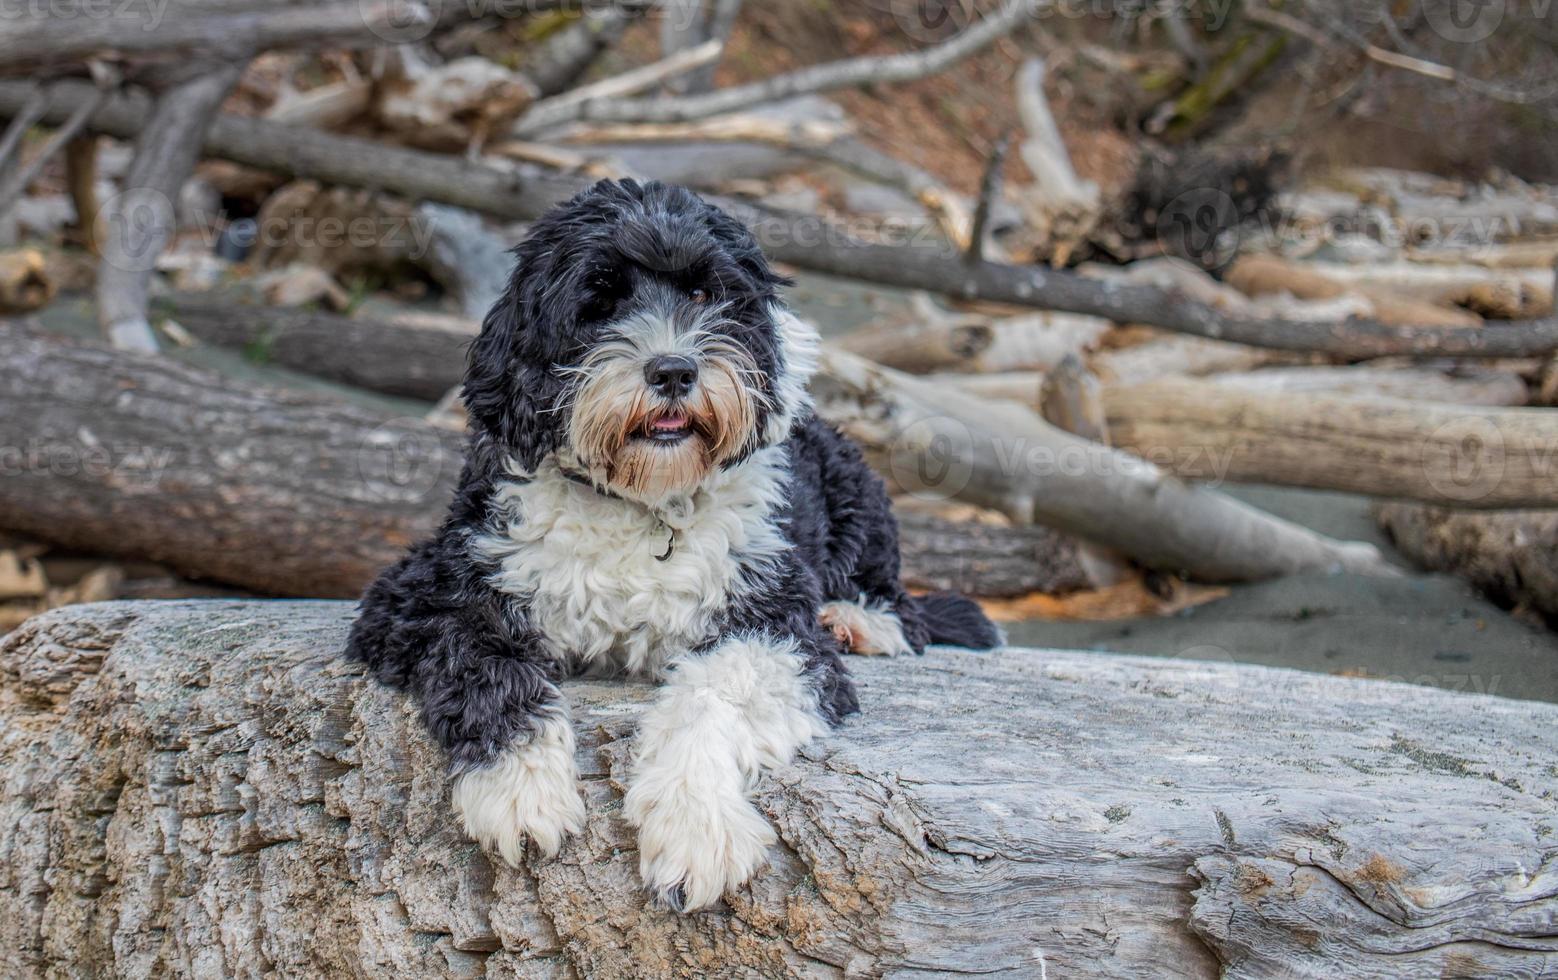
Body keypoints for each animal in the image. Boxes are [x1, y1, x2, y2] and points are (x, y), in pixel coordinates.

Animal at [345, 177, 997, 909]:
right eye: (598, 302)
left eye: (705, 294)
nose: (675, 371)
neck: (643, 502)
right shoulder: (422, 595)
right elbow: (485, 664)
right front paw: (520, 790)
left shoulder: (777, 628)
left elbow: (712, 693)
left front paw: (696, 825)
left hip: (853, 483)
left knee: (900, 602)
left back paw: (859, 620)